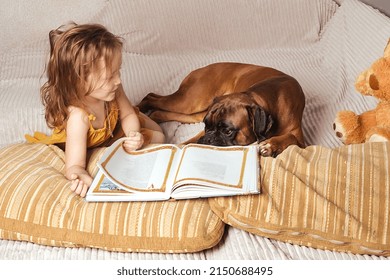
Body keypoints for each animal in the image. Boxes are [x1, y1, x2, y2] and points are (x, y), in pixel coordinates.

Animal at [139, 62, 306, 156]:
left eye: (228, 131)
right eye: (207, 126)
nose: (207, 139)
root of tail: (202, 68)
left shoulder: (301, 141)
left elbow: (291, 137)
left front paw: (271, 146)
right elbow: (189, 141)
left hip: (194, 111)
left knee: (159, 111)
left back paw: (151, 116)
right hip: (190, 102)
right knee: (151, 97)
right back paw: (138, 111)